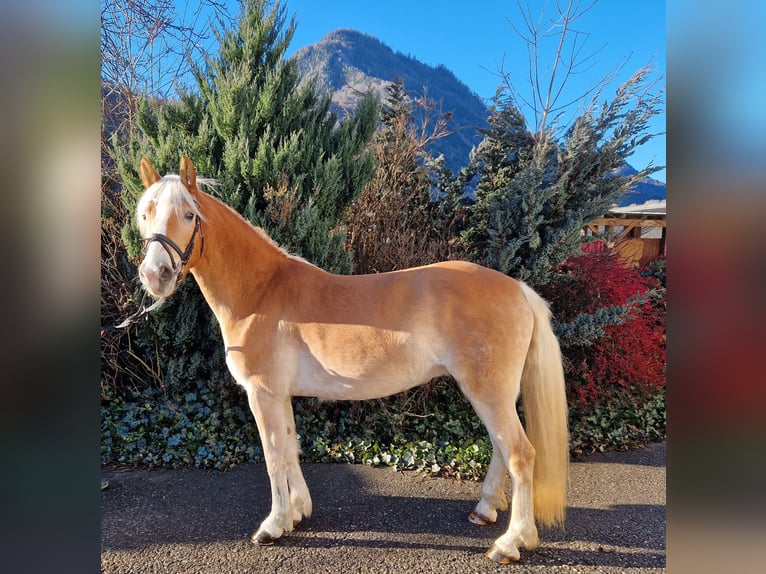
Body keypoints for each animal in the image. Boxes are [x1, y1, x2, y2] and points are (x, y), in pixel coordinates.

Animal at [136, 155, 568, 564]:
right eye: (146, 213)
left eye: (189, 214)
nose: (155, 275)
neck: (261, 291)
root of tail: (517, 287)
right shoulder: (281, 395)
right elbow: (290, 448)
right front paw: (298, 513)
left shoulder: (262, 393)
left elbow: (273, 455)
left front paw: (273, 526)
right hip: (492, 392)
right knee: (500, 447)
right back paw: (484, 510)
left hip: (487, 391)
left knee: (520, 454)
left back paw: (512, 543)